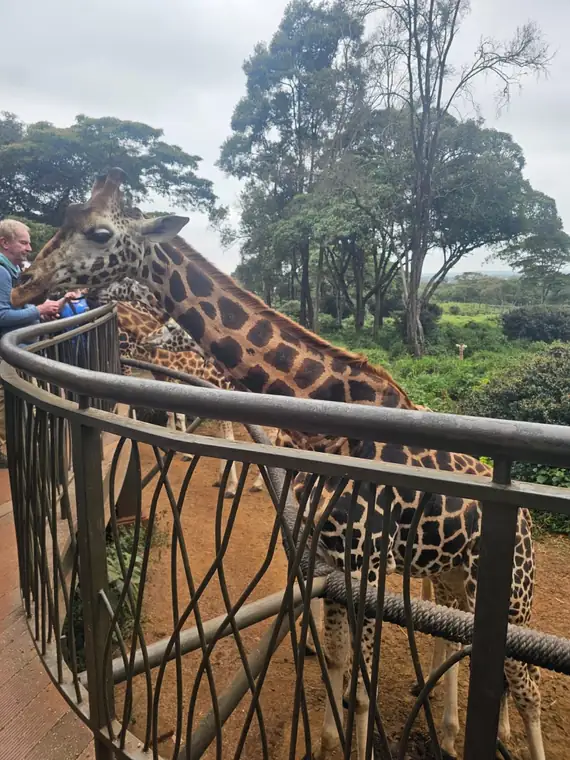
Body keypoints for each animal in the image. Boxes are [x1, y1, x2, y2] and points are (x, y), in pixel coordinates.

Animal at [12, 169, 544, 760]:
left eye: (101, 233)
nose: (24, 283)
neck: (326, 419)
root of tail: (526, 520)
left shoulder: (366, 562)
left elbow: (362, 687)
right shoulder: (333, 559)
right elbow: (338, 662)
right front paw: (330, 737)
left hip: (512, 587)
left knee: (527, 684)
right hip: (451, 575)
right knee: (458, 649)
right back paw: (451, 733)